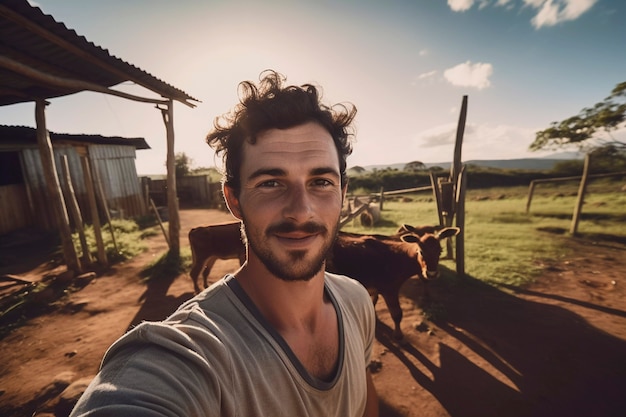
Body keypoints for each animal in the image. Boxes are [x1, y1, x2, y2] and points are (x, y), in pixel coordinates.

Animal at [324, 226, 456, 340]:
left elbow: (373, 301)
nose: (431, 273)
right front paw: (398, 335)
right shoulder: (389, 290)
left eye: (440, 251)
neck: (396, 256)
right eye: (421, 251)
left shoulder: (373, 288)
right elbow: (397, 314)